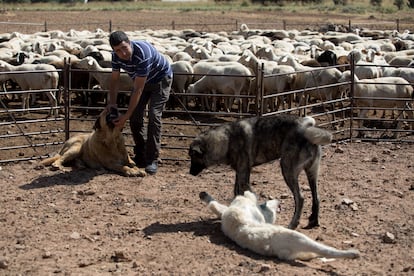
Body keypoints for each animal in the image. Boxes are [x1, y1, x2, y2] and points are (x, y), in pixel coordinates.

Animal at [189, 113, 332, 230]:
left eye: (192, 157)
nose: (190, 173)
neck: (227, 139)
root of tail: (307, 128)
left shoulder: (244, 177)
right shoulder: (240, 173)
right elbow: (236, 194)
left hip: (287, 170)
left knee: (300, 198)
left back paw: (293, 224)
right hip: (312, 173)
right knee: (316, 197)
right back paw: (313, 221)